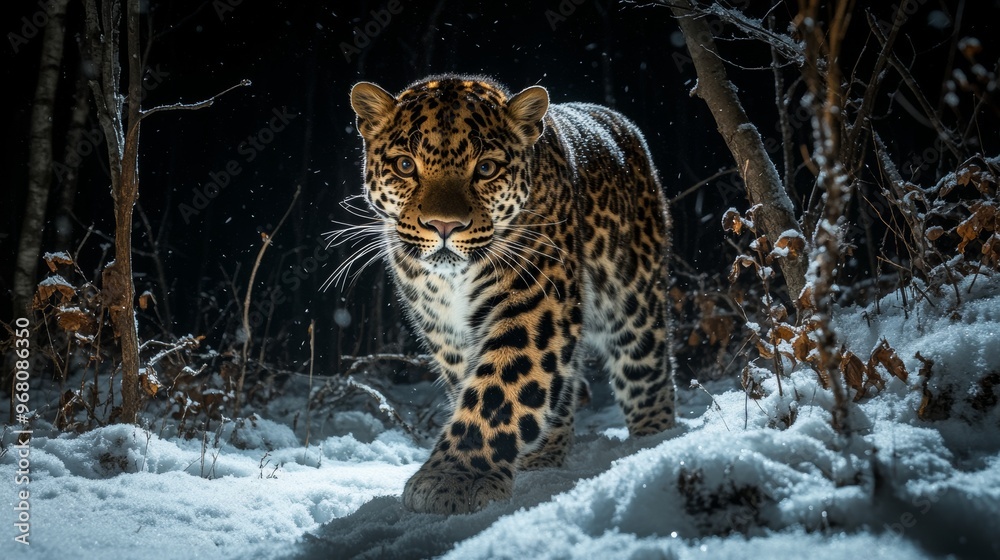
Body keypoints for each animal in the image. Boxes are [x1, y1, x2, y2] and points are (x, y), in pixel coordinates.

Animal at [346, 74, 676, 514]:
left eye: (486, 169)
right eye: (405, 166)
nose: (443, 225)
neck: (452, 282)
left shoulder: (536, 300)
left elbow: (499, 388)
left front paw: (456, 477)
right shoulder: (444, 330)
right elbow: (483, 385)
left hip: (633, 298)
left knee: (647, 372)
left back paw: (655, 445)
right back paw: (544, 455)